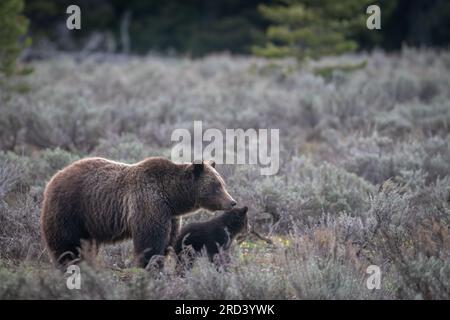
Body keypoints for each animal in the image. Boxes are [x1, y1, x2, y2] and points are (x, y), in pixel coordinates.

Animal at [40, 157, 237, 268]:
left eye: (222, 183)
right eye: (216, 186)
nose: (232, 202)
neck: (172, 196)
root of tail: (54, 177)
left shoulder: (170, 216)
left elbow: (168, 242)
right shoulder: (149, 204)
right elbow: (149, 242)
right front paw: (150, 267)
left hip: (87, 223)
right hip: (70, 209)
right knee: (67, 245)